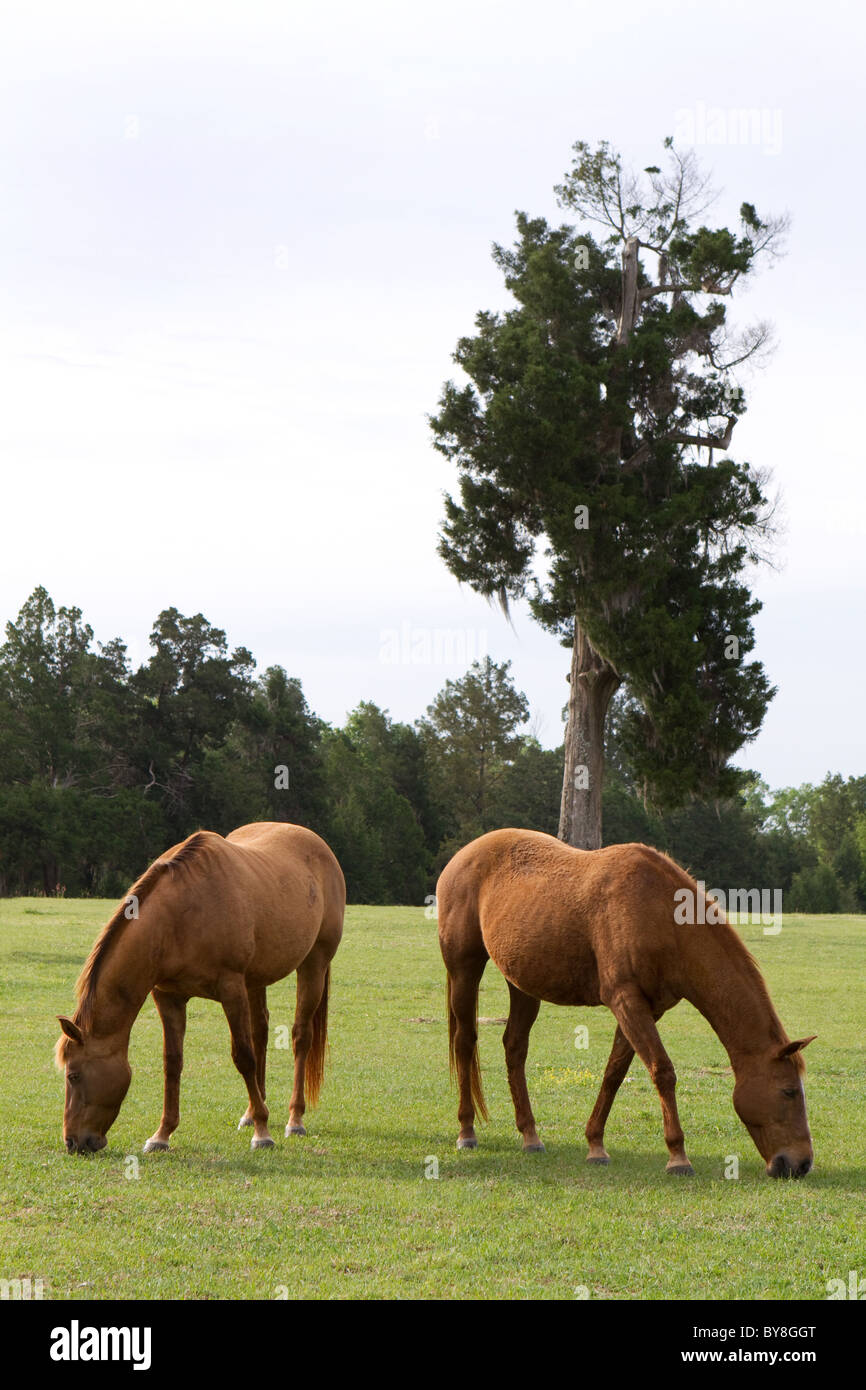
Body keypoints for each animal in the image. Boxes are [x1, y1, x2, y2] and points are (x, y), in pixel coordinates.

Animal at [52, 817, 346, 1156]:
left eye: (73, 1075)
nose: (73, 1142)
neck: (179, 918)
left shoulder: (231, 989)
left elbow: (243, 1056)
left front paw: (262, 1133)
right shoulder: (168, 996)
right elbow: (173, 1062)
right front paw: (162, 1134)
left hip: (314, 964)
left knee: (300, 1037)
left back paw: (293, 1119)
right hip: (256, 980)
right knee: (260, 1033)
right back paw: (251, 1112)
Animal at [439, 828, 817, 1178]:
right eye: (788, 1092)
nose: (801, 1164)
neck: (663, 915)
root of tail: (463, 856)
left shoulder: (646, 1009)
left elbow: (614, 1074)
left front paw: (595, 1145)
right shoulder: (626, 1000)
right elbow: (662, 1071)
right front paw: (678, 1156)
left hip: (522, 984)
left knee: (515, 1048)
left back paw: (530, 1136)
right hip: (464, 969)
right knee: (465, 1042)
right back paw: (466, 1131)